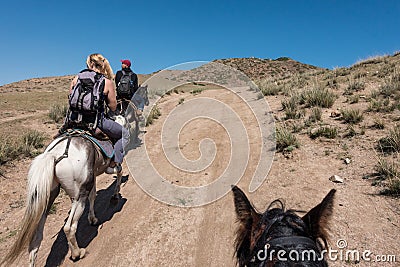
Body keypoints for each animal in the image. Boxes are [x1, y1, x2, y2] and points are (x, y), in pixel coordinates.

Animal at [0, 133, 122, 267]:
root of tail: (54, 154)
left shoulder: (93, 175)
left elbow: (93, 195)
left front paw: (93, 218)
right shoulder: (107, 168)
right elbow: (119, 173)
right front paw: (115, 196)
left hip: (49, 195)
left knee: (36, 236)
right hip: (79, 194)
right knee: (69, 227)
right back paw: (77, 253)